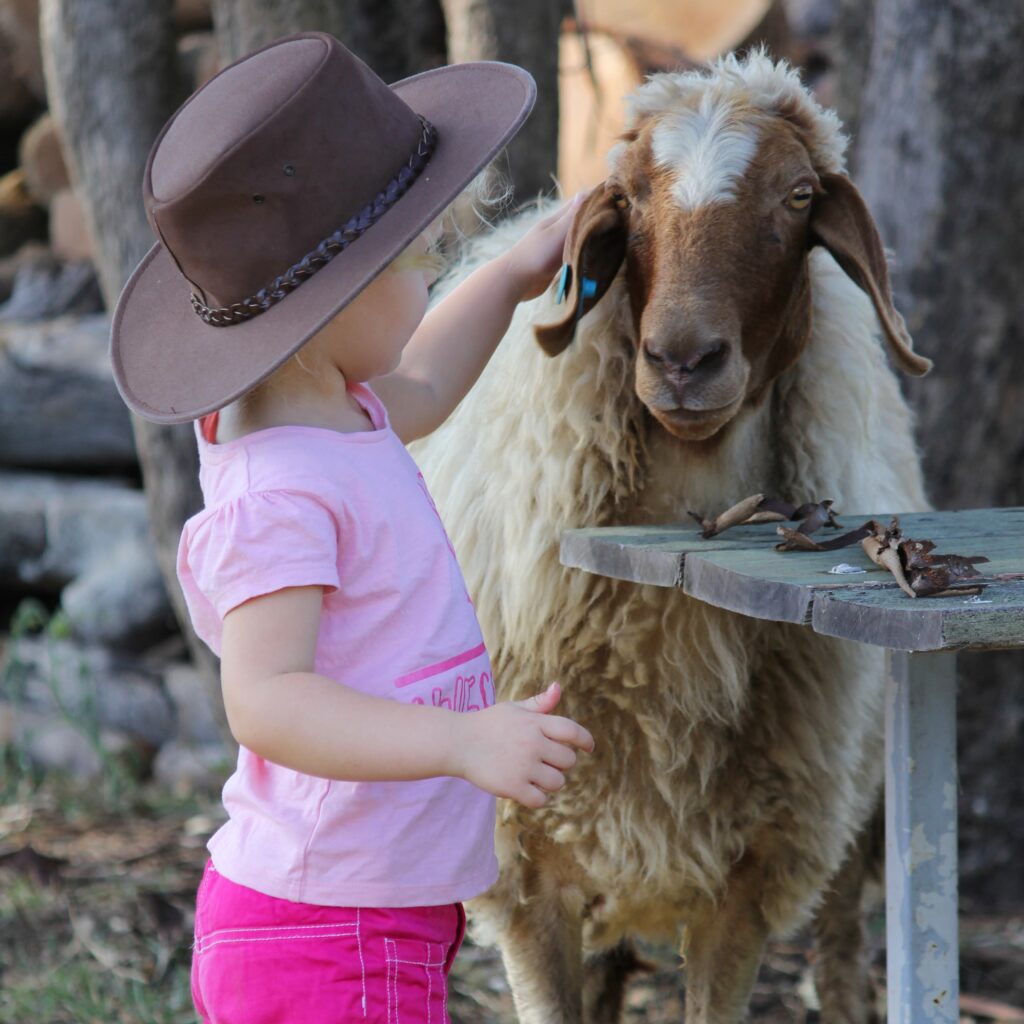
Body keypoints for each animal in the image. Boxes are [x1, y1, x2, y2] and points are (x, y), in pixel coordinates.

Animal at [407, 49, 929, 1024]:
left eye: (800, 194)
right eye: (630, 198)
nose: (683, 361)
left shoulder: (749, 878)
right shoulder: (526, 873)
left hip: (846, 806)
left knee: (843, 949)